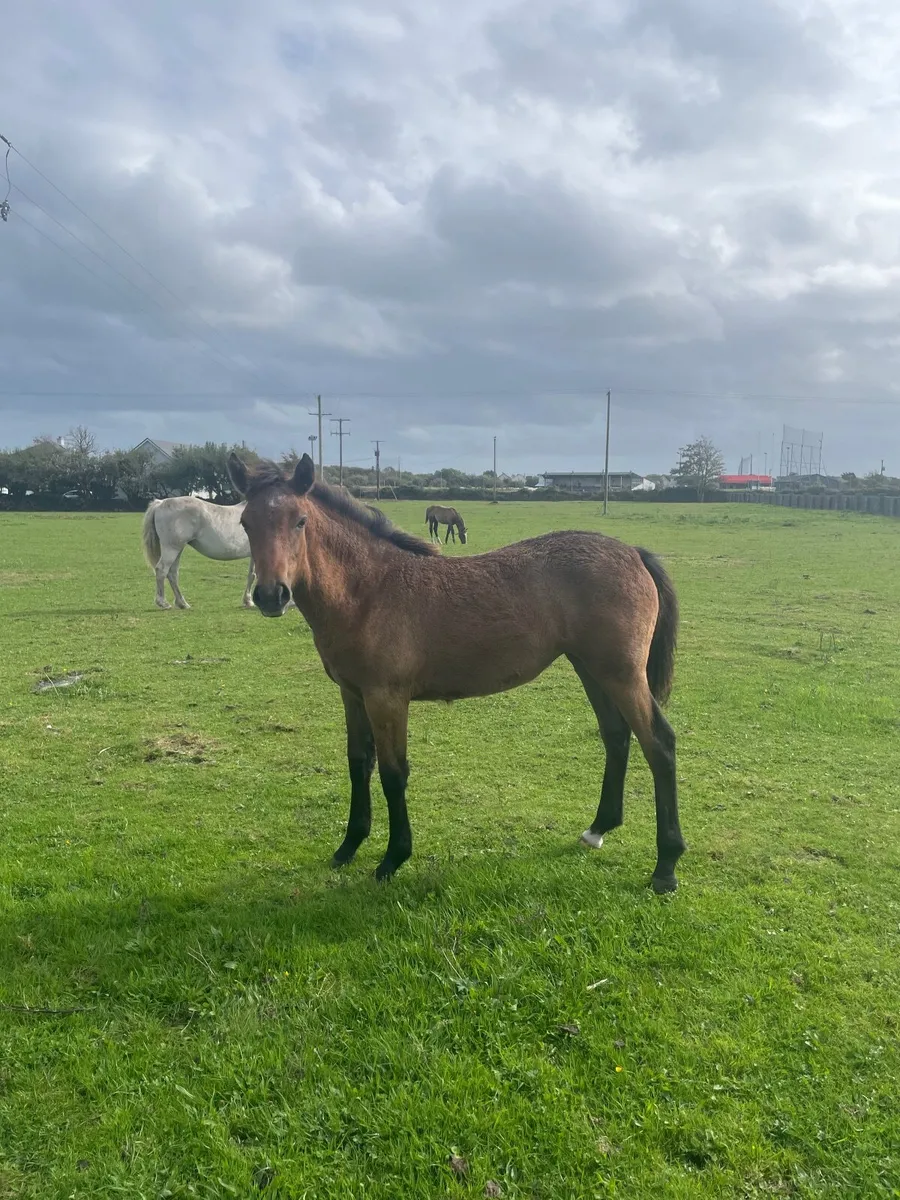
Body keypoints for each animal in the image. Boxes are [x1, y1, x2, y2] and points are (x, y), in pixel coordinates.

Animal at [228, 452, 685, 894]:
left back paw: (665, 867)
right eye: (245, 522)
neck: (368, 591)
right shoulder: (352, 694)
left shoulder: (387, 697)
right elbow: (359, 763)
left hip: (622, 674)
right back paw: (598, 829)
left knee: (659, 744)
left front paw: (392, 859)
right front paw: (348, 846)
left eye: (300, 521)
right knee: (617, 736)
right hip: (591, 669)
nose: (270, 595)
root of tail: (634, 553)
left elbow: (394, 773)